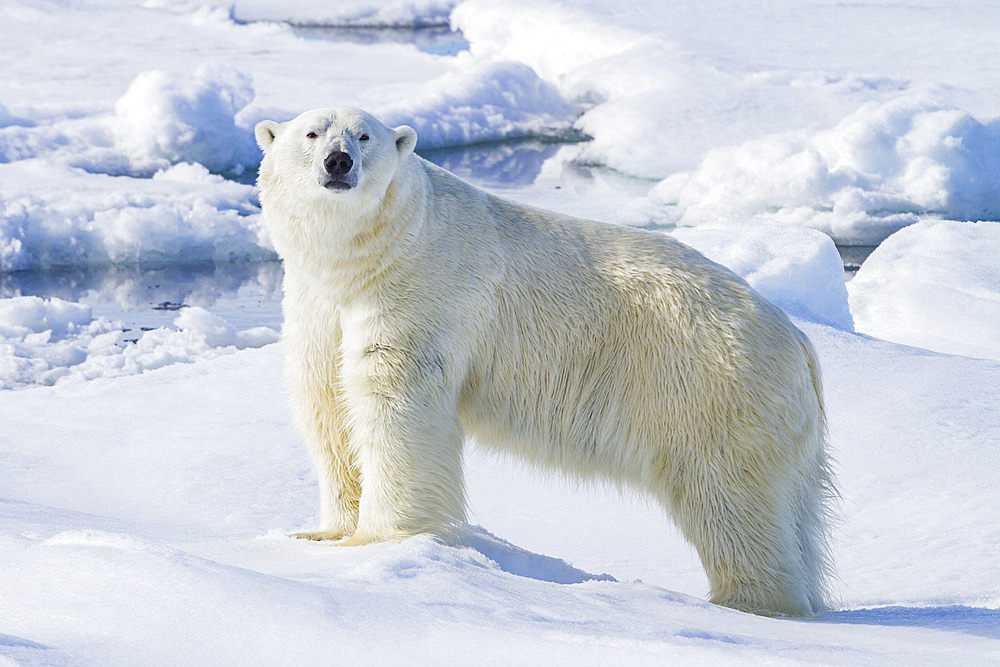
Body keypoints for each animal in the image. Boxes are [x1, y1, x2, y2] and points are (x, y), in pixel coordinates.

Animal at [256, 108, 836, 616]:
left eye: (364, 135)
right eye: (311, 133)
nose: (338, 162)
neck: (372, 258)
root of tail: (798, 341)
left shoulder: (421, 292)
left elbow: (393, 405)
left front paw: (379, 540)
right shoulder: (319, 307)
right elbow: (328, 402)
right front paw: (323, 532)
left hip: (711, 388)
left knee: (731, 499)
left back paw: (749, 603)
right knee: (794, 512)